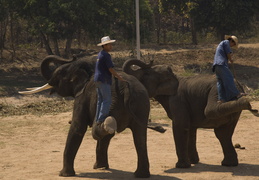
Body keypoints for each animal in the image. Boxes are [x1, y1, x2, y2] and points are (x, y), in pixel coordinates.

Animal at [123, 58, 258, 169]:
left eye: (146, 74)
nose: (150, 59)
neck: (175, 76)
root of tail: (239, 87)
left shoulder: (178, 100)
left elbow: (180, 126)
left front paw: (182, 166)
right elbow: (191, 129)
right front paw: (194, 162)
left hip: (217, 93)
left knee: (213, 117)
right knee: (223, 134)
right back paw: (229, 164)